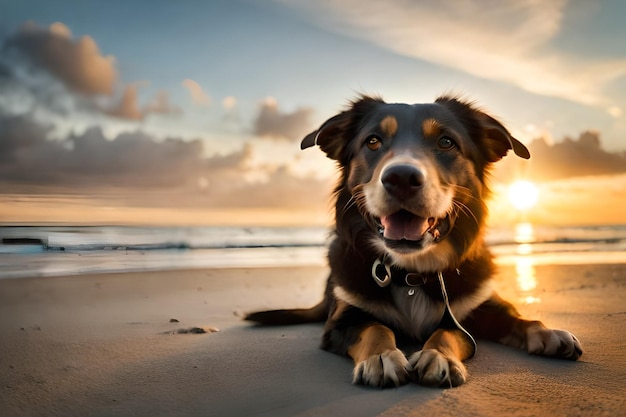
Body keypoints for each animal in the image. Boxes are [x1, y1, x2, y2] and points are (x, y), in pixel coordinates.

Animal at [244, 95, 580, 386]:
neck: (412, 273)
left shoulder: (477, 308)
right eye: (373, 141)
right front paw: (381, 357)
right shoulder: (341, 321)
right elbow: (374, 327)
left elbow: (487, 324)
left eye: (446, 141)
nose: (401, 178)